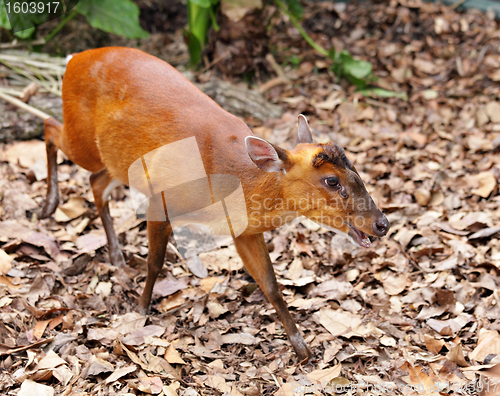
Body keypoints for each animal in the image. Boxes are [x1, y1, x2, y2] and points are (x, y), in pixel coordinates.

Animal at [0, 47, 390, 362]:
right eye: (332, 181)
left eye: (356, 171)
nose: (382, 223)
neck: (234, 180)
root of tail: (75, 59)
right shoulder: (160, 197)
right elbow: (155, 263)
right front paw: (140, 308)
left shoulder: (244, 230)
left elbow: (272, 285)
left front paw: (301, 346)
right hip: (82, 137)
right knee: (49, 127)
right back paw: (49, 205)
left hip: (114, 159)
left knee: (95, 180)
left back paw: (114, 253)